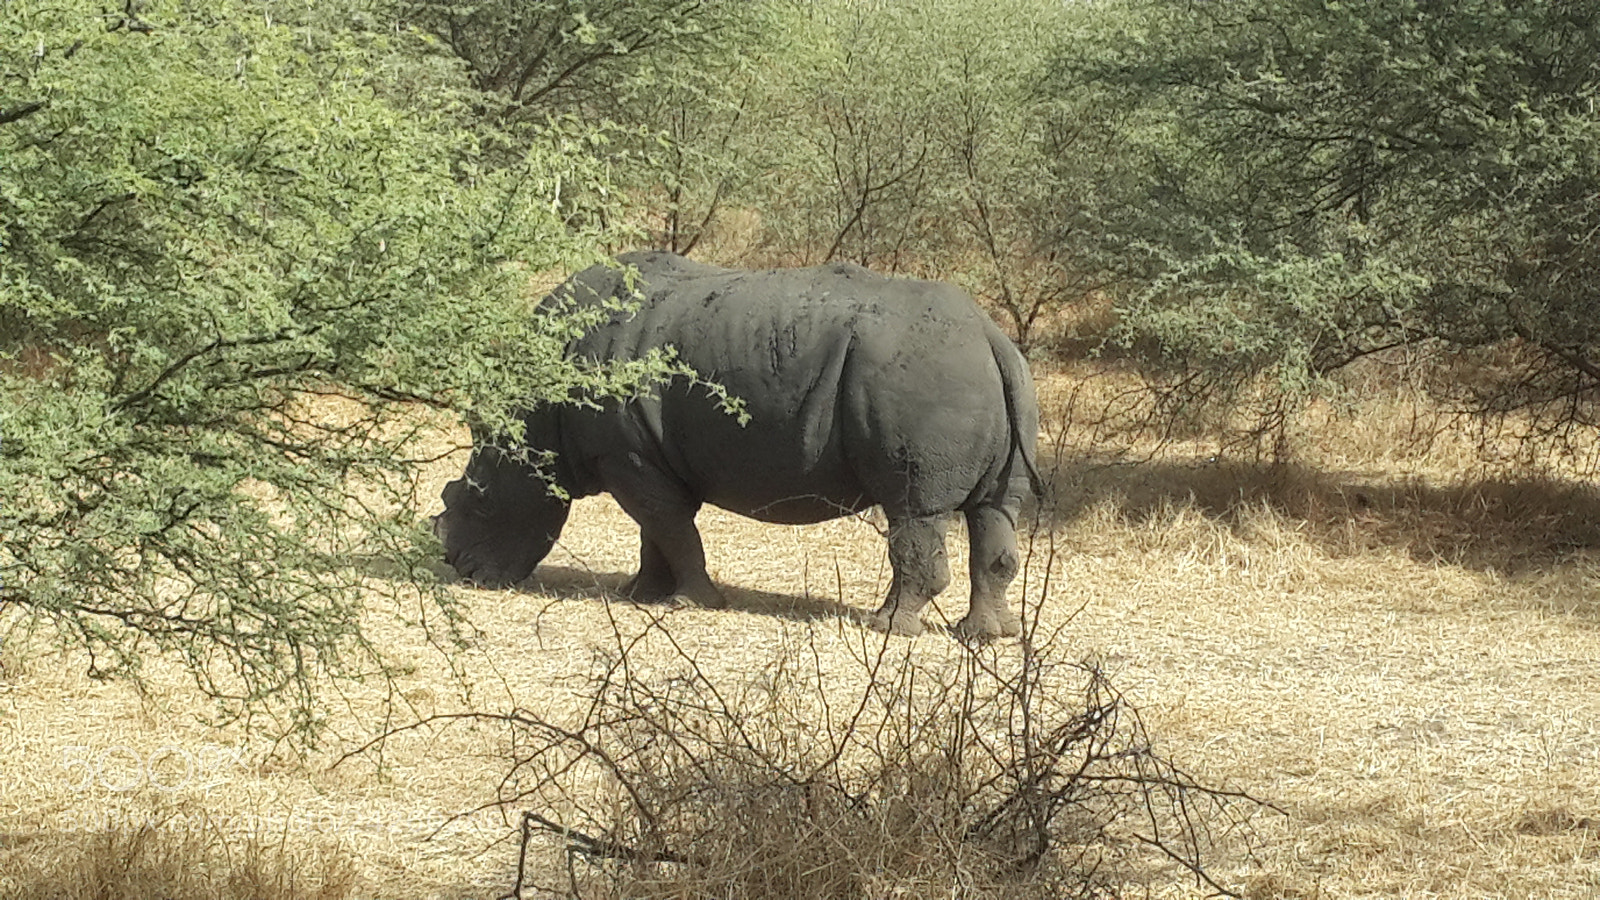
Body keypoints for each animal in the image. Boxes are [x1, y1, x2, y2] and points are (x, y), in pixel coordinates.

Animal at [434, 251, 1042, 638]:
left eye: (481, 500)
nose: (461, 568)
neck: (536, 410)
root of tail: (991, 336)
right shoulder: (643, 455)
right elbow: (657, 529)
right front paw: (641, 595)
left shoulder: (626, 455)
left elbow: (670, 528)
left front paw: (691, 603)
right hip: (994, 376)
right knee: (994, 510)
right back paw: (988, 636)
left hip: (926, 380)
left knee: (914, 510)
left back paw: (888, 629)